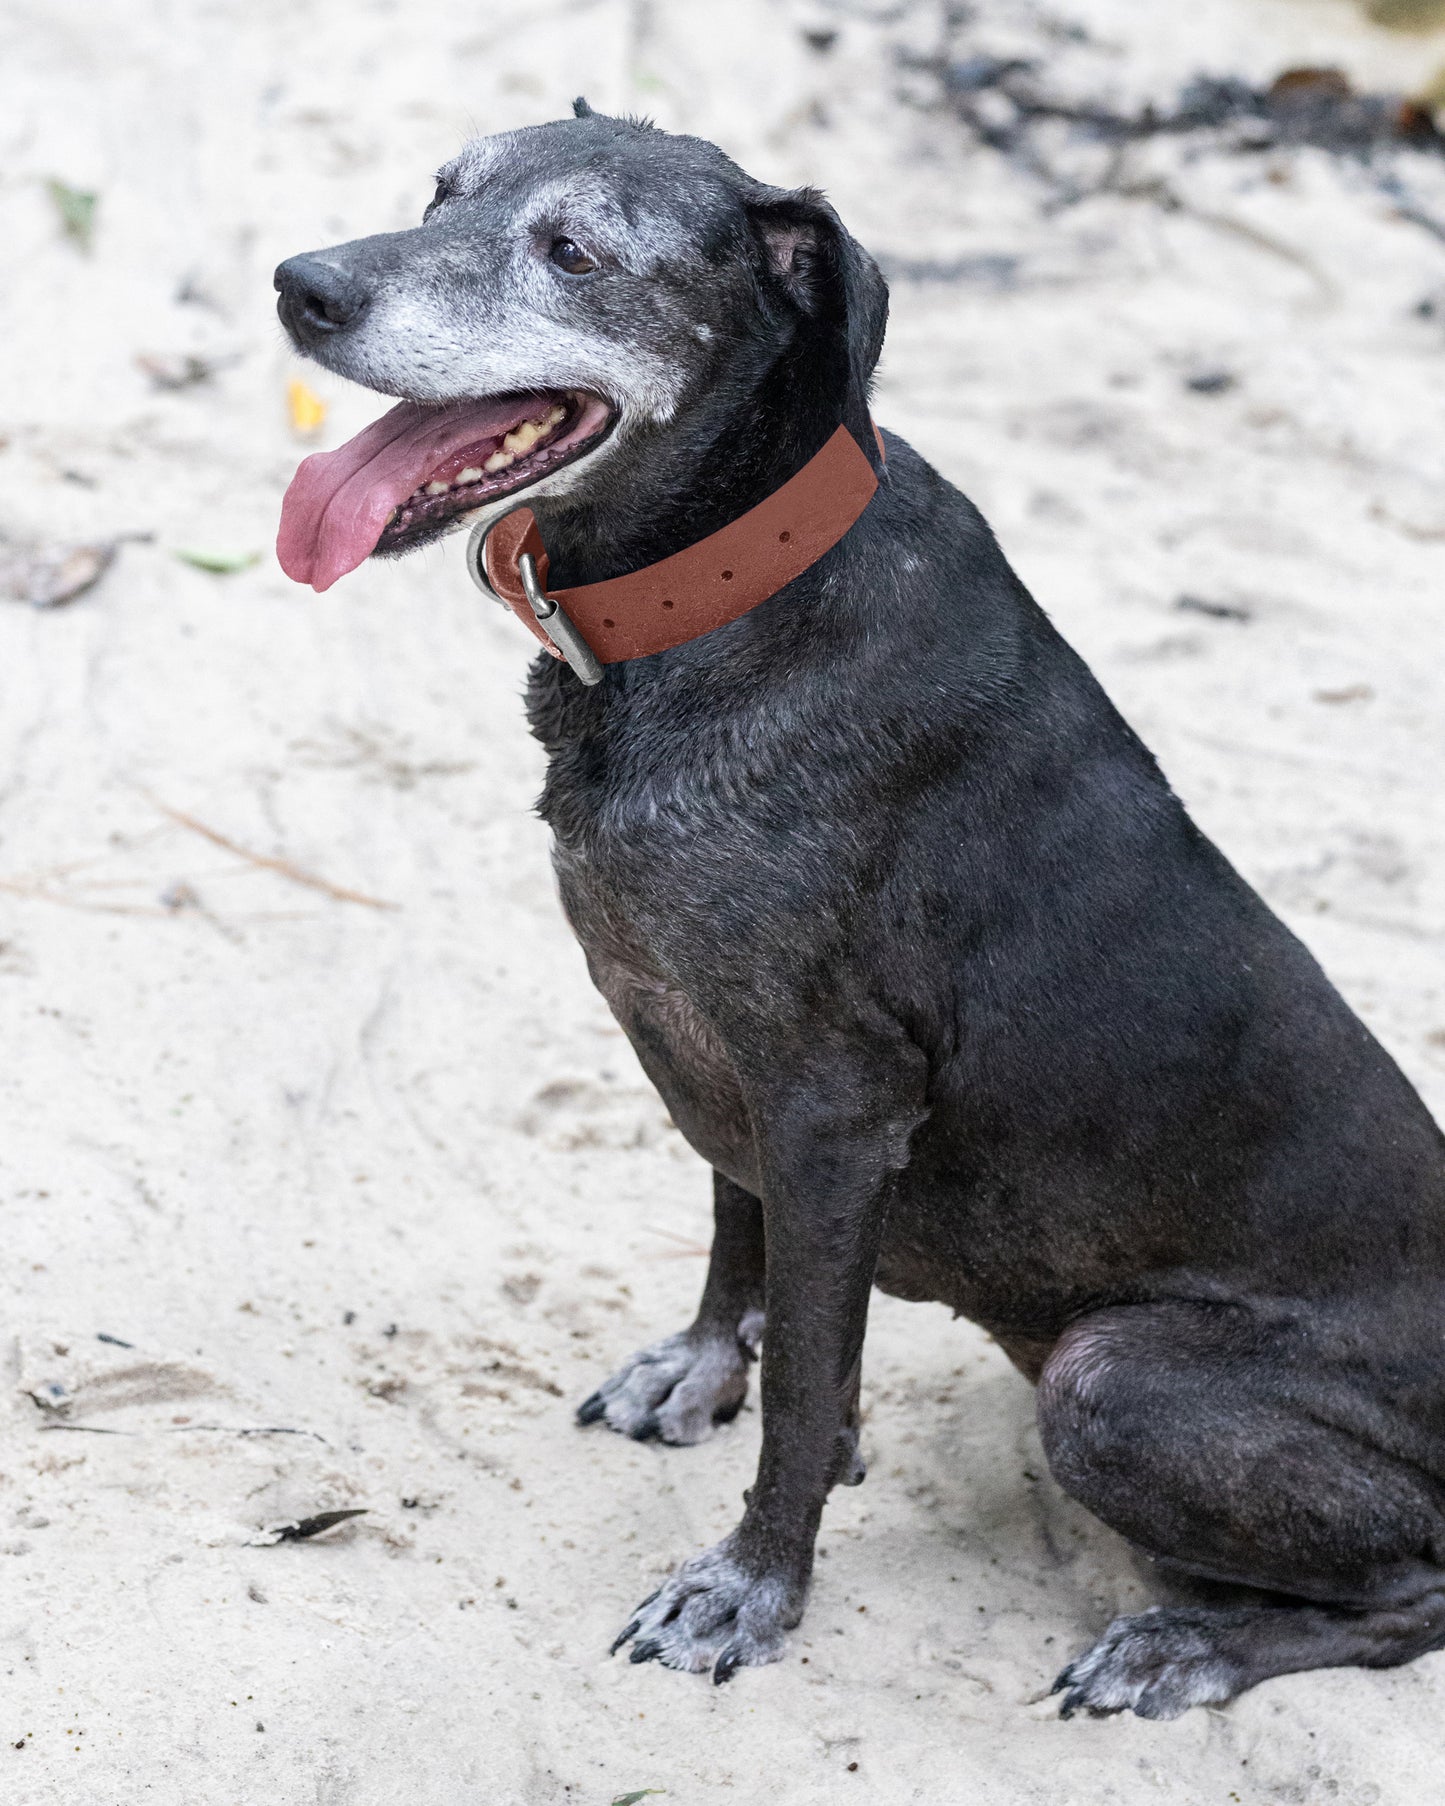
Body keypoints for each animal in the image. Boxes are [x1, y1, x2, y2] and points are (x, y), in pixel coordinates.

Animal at [276, 102, 1445, 1719]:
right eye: (439, 189)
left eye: (573, 252)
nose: (300, 288)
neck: (719, 595)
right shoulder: (720, 1058)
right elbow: (736, 1233)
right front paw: (701, 1366)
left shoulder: (832, 1108)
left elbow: (808, 1378)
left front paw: (751, 1585)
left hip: (1109, 1380)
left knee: (1412, 1590)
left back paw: (1191, 1643)